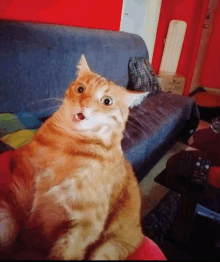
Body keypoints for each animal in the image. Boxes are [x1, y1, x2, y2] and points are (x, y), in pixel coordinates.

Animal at [0, 55, 149, 260]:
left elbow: (67, 251)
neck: (68, 144)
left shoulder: (85, 225)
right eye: (80, 89)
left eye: (107, 101)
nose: (84, 104)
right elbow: (5, 227)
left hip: (109, 247)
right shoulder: (14, 194)